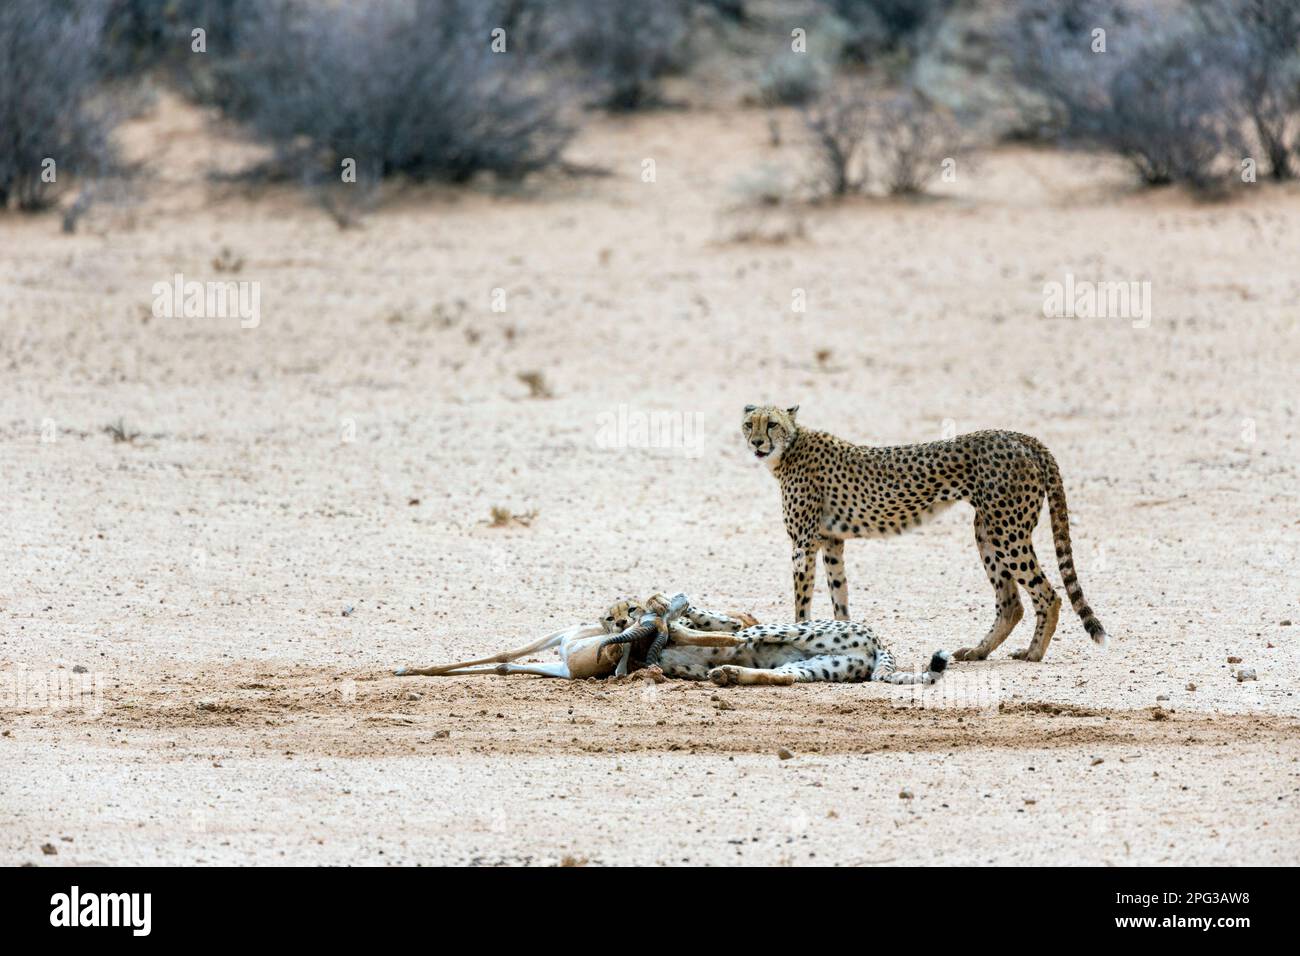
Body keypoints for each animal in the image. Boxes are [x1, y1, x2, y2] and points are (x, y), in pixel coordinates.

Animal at [743, 405, 1107, 665]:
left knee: (1048, 594)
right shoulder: (832, 542)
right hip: (988, 530)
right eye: (749, 423)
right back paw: (978, 651)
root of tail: (1020, 437)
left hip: (1007, 530)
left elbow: (802, 603)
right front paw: (843, 637)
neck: (791, 447)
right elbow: (839, 596)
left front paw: (799, 634)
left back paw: (1033, 653)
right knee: (1011, 602)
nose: (756, 442)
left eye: (771, 423)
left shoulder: (802, 543)